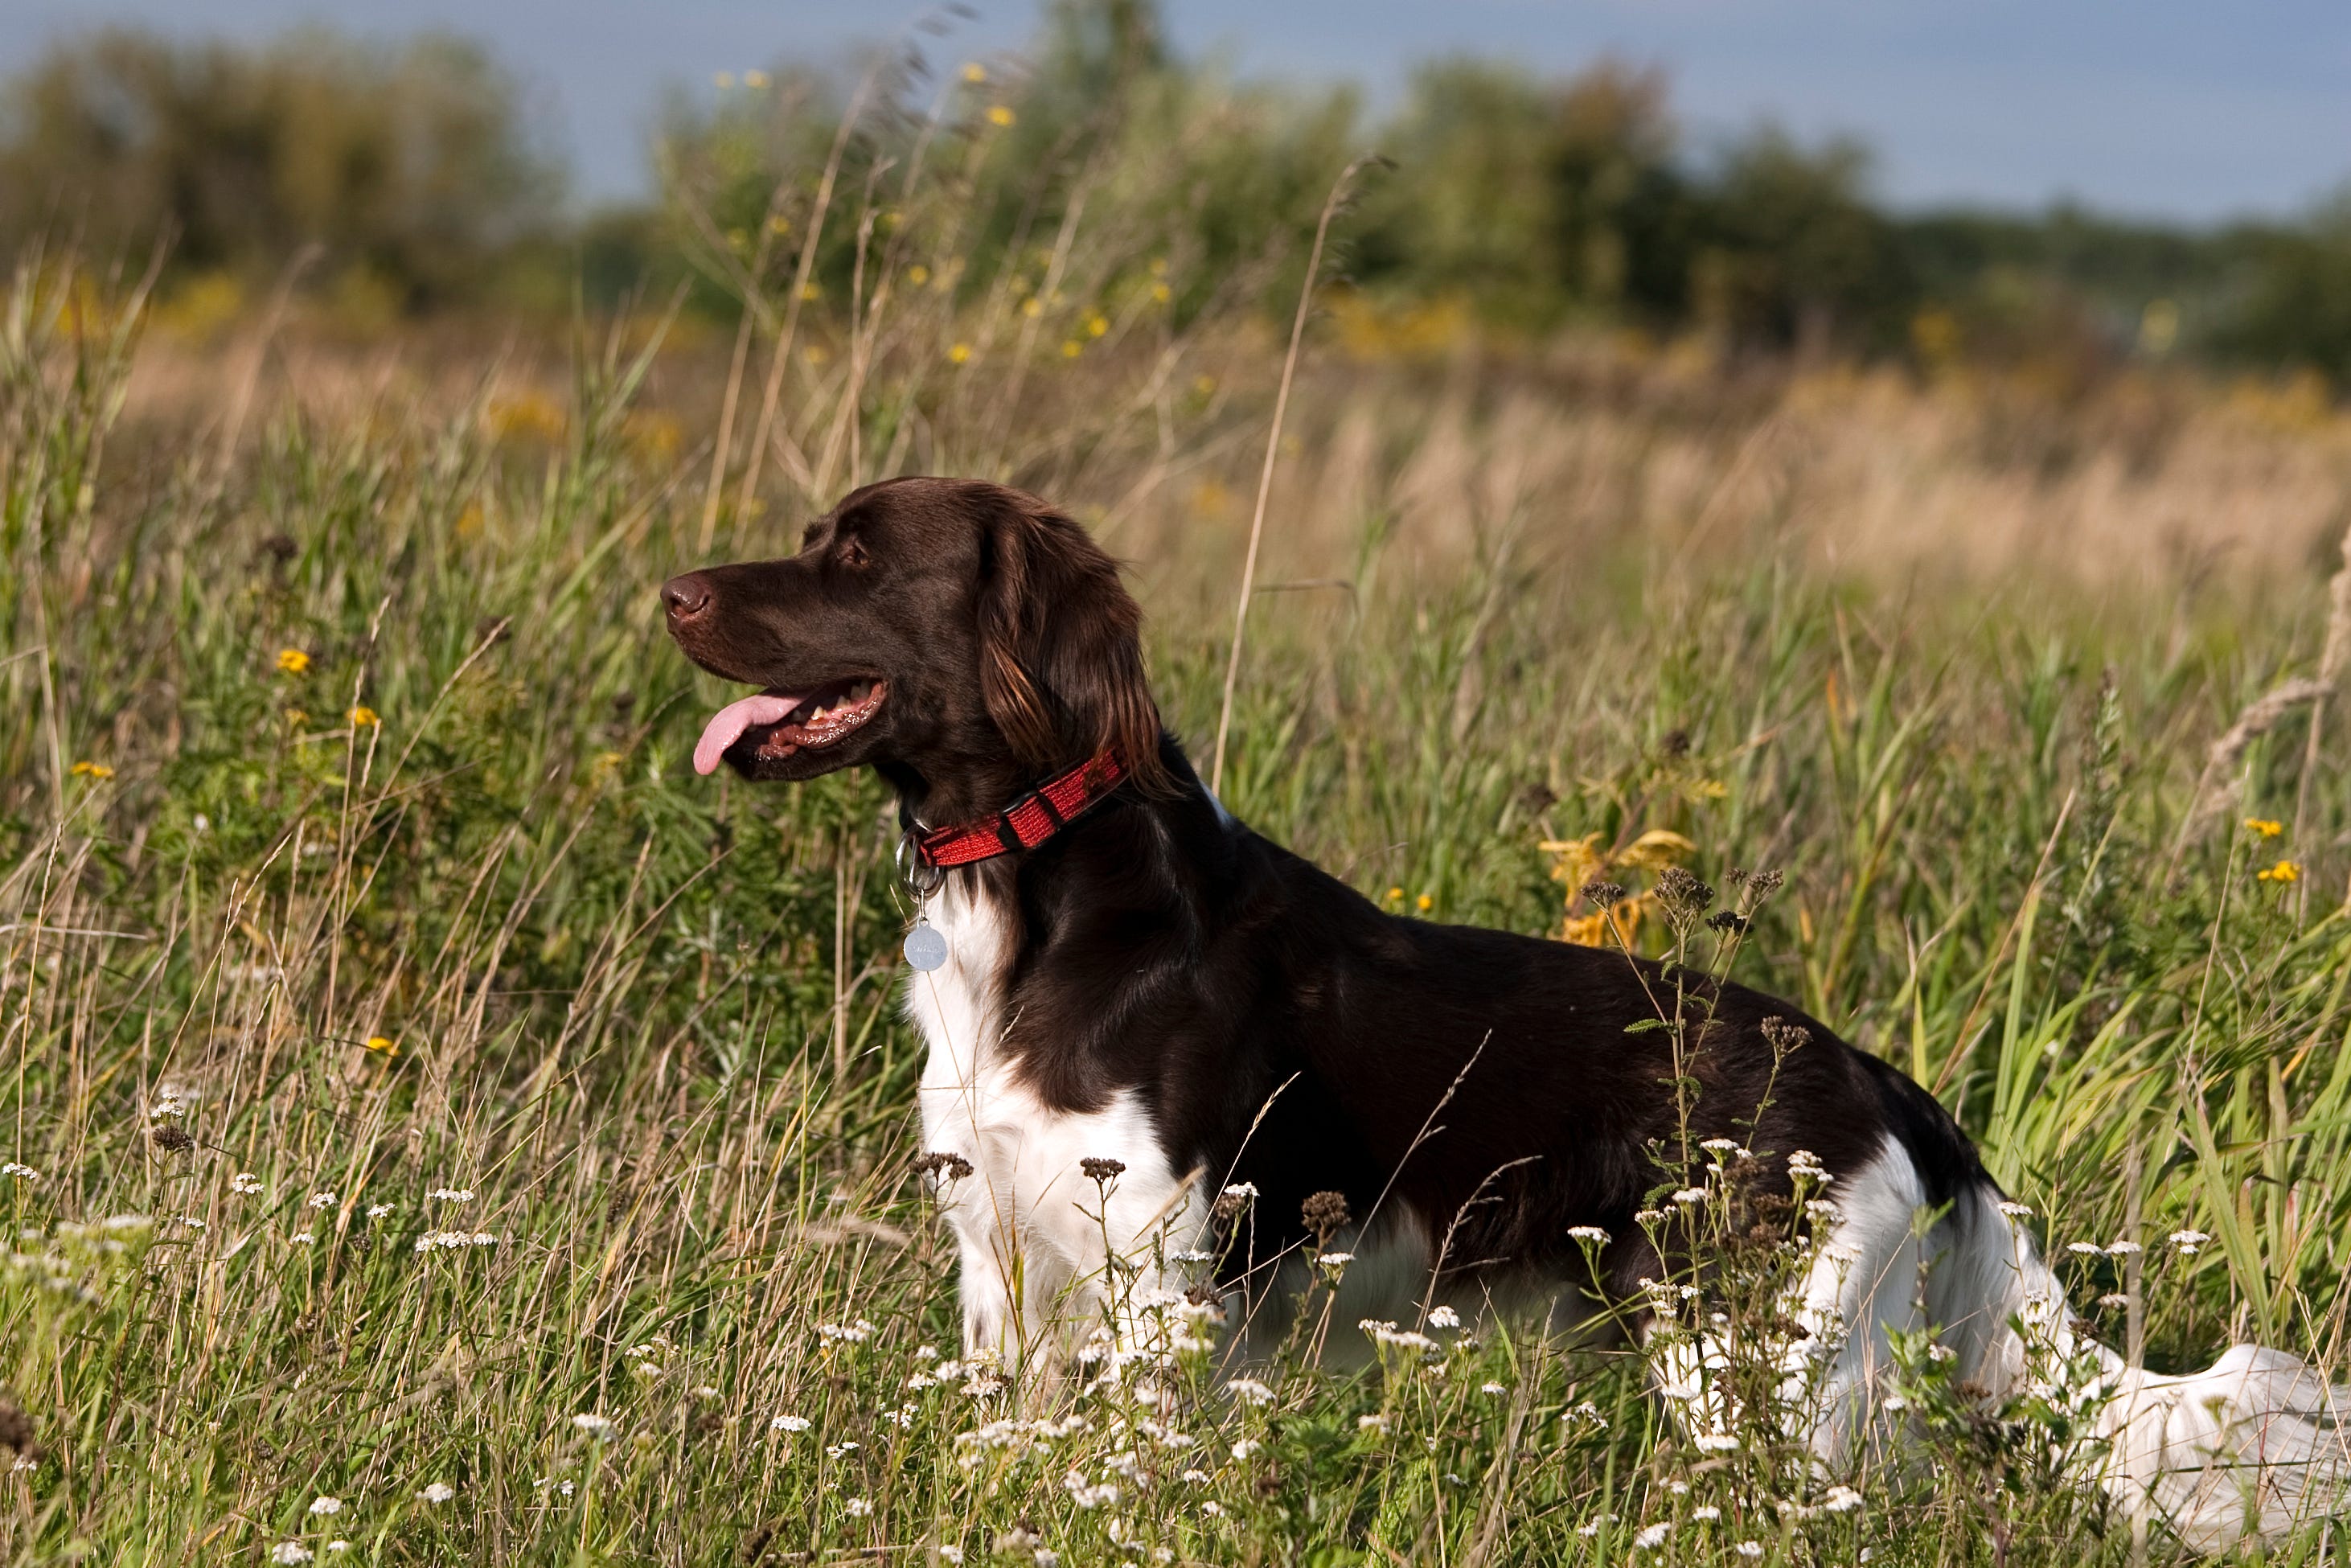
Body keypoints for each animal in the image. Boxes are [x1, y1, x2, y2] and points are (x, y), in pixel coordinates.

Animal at [663, 474, 2351, 1541]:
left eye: (857, 559)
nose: (670, 591)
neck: (1038, 905)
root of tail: (1881, 1081)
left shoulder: (1158, 1285)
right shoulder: (997, 1268)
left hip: (1757, 1372)